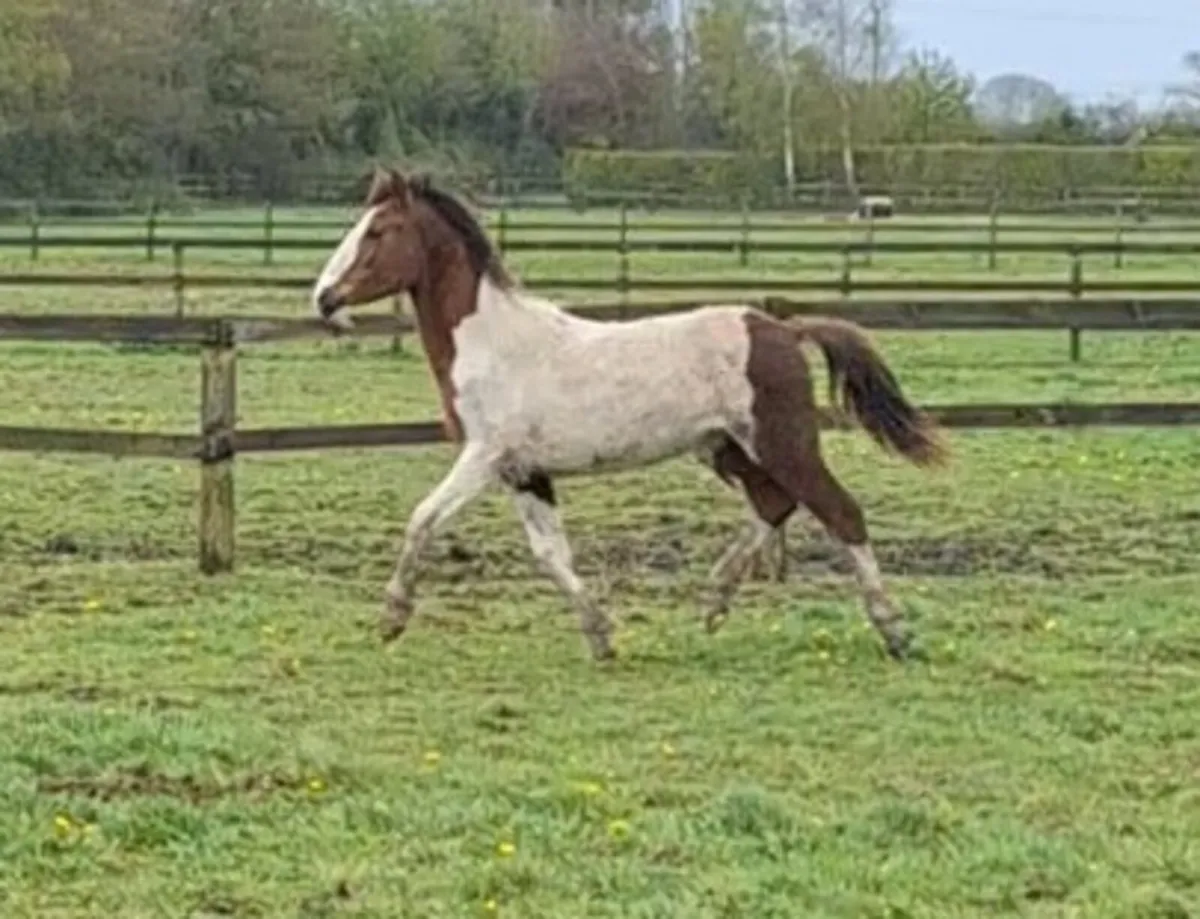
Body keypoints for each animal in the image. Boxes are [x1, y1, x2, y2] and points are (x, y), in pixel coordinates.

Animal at [312, 167, 947, 663]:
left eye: (379, 231)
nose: (323, 298)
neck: (493, 343)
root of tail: (784, 329)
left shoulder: (485, 456)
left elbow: (422, 519)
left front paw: (392, 617)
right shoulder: (525, 471)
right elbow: (550, 553)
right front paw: (600, 635)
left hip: (783, 443)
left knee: (841, 513)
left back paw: (894, 631)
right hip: (727, 449)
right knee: (775, 506)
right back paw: (713, 604)